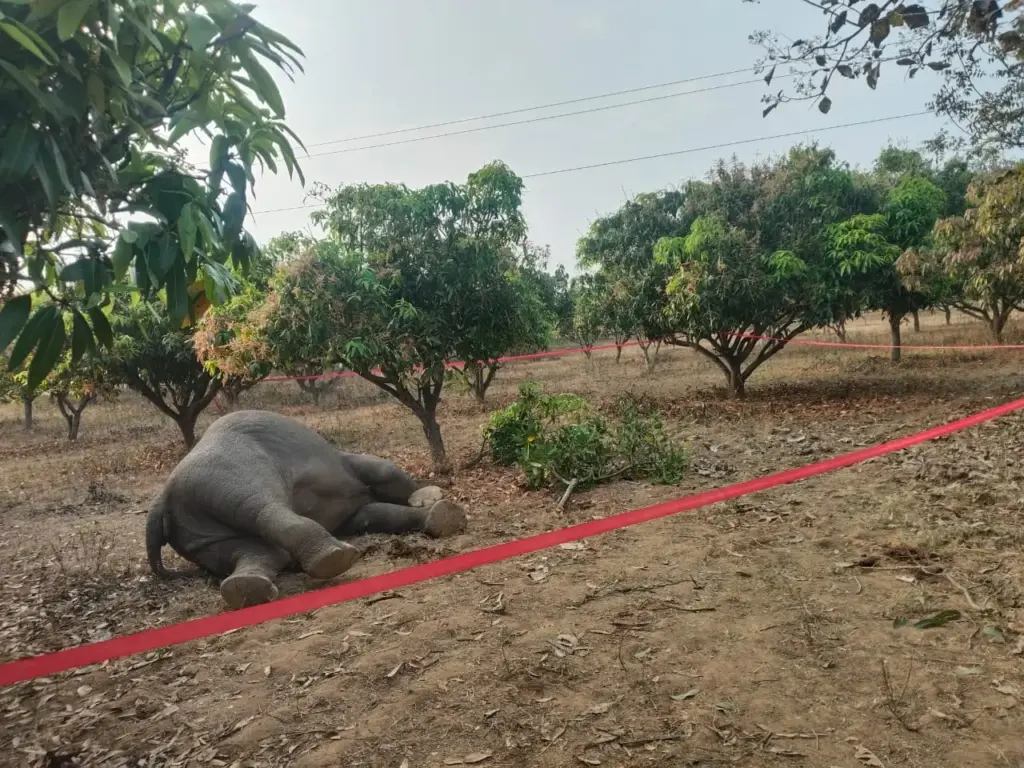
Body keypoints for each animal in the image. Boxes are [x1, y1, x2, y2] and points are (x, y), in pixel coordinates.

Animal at [145, 409, 467, 609]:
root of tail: (162, 499)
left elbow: (374, 514)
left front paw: (439, 514)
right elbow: (382, 474)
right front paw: (429, 499)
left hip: (195, 530)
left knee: (254, 549)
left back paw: (245, 590)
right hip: (229, 475)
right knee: (263, 508)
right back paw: (334, 558)